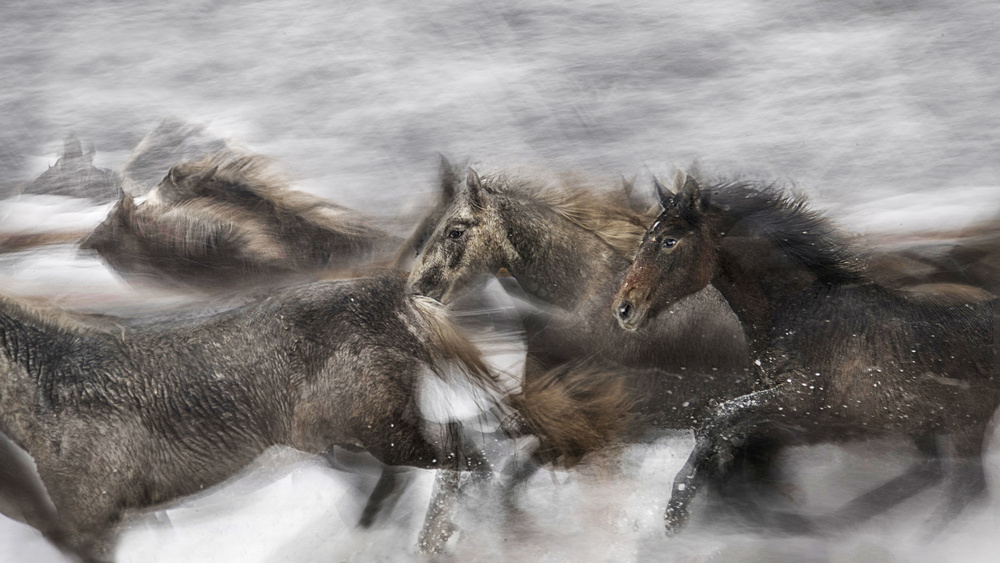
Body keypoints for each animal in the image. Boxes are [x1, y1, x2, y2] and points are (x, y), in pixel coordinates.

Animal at [1, 272, 624, 560]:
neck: (48, 390)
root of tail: (392, 296)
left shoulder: (93, 521)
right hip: (349, 440)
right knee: (435, 463)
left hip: (380, 432)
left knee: (464, 459)